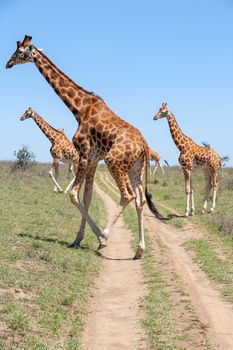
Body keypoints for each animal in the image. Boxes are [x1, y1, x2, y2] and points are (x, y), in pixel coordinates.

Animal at [6, 34, 164, 260]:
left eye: (19, 52)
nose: (8, 64)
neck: (79, 109)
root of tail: (144, 145)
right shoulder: (93, 159)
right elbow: (87, 197)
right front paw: (77, 240)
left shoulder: (83, 154)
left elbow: (73, 194)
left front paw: (99, 238)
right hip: (135, 168)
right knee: (140, 201)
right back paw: (139, 250)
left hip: (115, 162)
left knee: (128, 195)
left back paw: (106, 235)